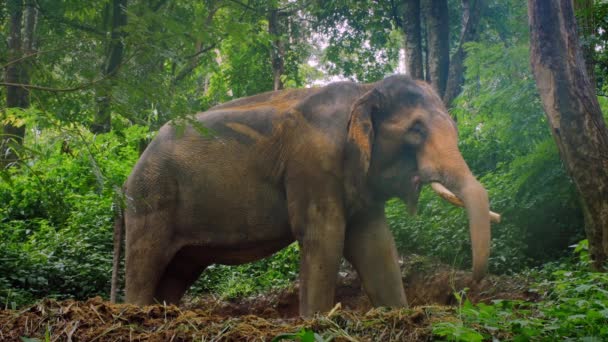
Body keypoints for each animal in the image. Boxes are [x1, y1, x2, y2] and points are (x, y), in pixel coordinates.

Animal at [113, 74, 498, 316]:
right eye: (416, 130)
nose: (468, 287)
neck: (364, 90)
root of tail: (128, 178)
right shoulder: (312, 165)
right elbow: (323, 235)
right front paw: (316, 320)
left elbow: (375, 243)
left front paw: (397, 313)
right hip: (151, 197)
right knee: (147, 258)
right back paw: (136, 313)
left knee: (178, 270)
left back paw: (160, 313)